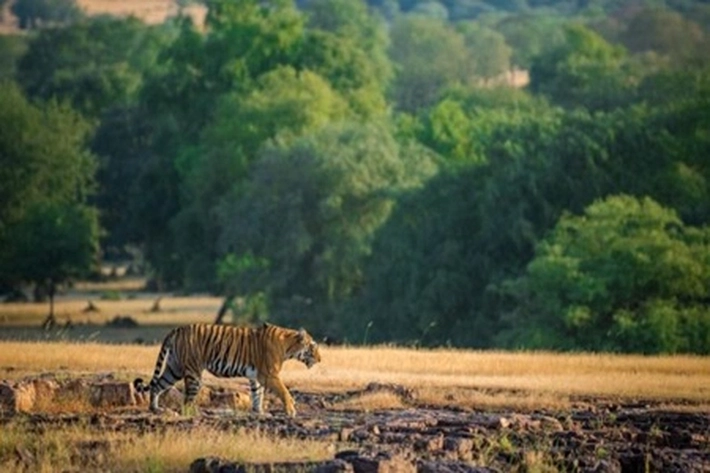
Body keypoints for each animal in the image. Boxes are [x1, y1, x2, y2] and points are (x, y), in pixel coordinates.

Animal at [134, 320, 322, 416]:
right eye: (313, 346)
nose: (320, 359)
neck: (288, 346)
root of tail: (177, 329)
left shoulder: (256, 376)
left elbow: (257, 394)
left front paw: (259, 411)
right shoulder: (270, 375)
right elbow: (284, 391)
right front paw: (291, 410)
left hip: (174, 369)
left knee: (157, 385)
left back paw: (155, 409)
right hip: (193, 373)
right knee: (186, 401)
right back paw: (193, 413)